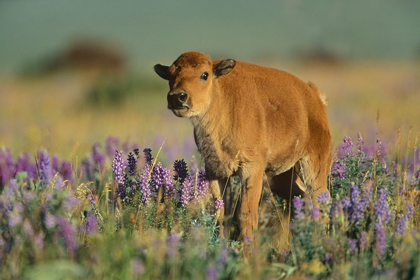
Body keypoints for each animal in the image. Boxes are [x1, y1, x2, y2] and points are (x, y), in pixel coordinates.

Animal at [153, 50, 332, 241]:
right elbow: (222, 213)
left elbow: (245, 214)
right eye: (170, 75)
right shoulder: (216, 171)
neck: (221, 100)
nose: (177, 97)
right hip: (281, 175)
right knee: (303, 197)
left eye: (204, 74)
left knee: (321, 199)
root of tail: (315, 97)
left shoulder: (251, 169)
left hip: (313, 165)